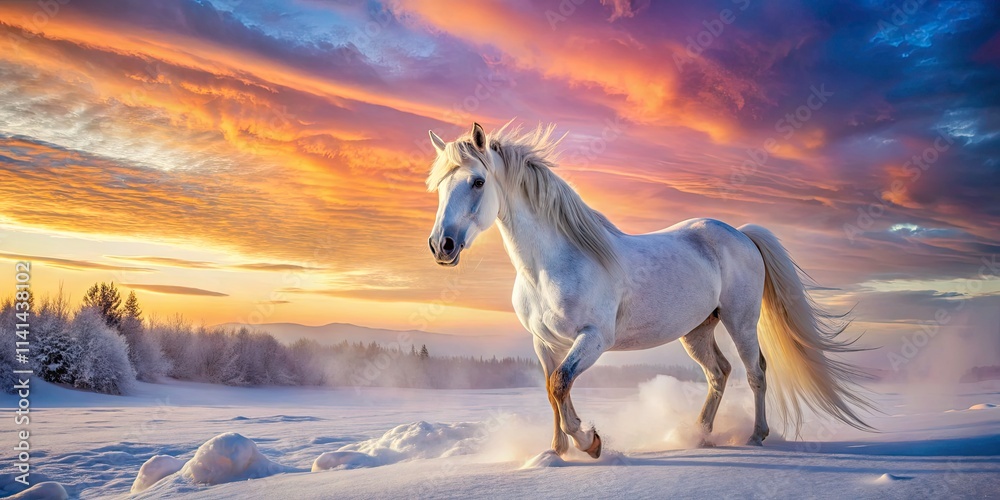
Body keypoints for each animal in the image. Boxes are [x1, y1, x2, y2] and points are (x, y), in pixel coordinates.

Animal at [425, 122, 872, 459]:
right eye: (439, 187)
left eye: (477, 181)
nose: (441, 246)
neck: (552, 263)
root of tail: (741, 233)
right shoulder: (544, 342)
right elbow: (553, 390)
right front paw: (556, 451)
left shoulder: (593, 339)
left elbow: (560, 385)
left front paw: (589, 442)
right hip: (697, 330)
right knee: (719, 373)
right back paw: (699, 435)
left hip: (741, 320)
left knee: (755, 372)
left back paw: (756, 436)